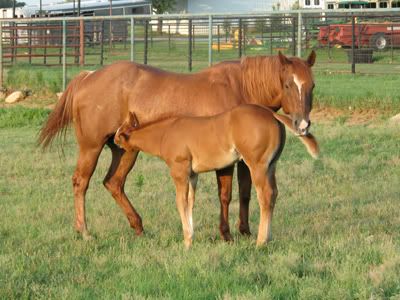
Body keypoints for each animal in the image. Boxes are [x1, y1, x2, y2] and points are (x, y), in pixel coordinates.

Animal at [113, 104, 318, 247]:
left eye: (120, 132)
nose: (113, 140)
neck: (166, 133)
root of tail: (270, 113)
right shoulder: (193, 175)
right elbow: (190, 202)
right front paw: (191, 237)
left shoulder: (179, 171)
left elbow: (180, 202)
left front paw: (186, 241)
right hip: (271, 166)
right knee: (274, 193)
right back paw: (269, 237)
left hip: (257, 165)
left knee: (265, 196)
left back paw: (261, 242)